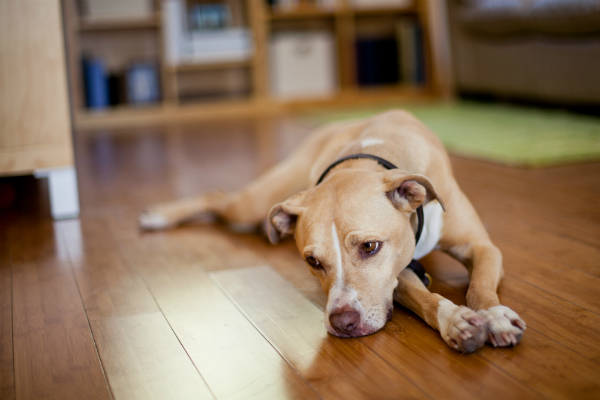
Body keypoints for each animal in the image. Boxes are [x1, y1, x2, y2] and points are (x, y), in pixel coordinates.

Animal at [139, 110, 524, 354]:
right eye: (312, 261)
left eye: (370, 246)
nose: (343, 322)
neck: (368, 156)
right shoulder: (395, 278)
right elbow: (424, 297)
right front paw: (455, 320)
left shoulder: (480, 246)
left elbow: (480, 285)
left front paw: (494, 316)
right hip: (254, 203)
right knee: (217, 195)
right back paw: (158, 216)